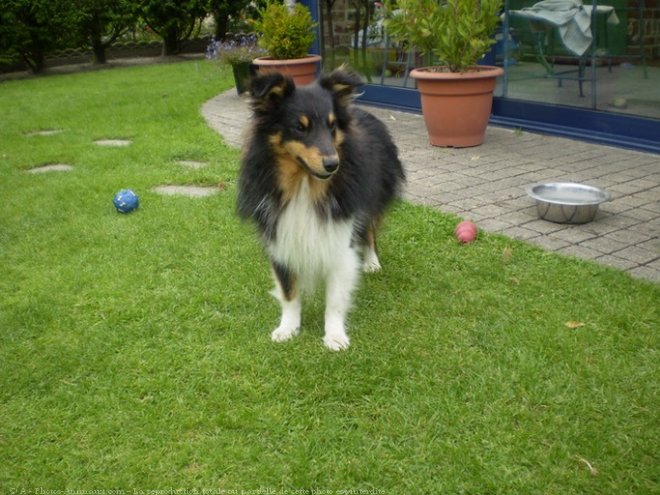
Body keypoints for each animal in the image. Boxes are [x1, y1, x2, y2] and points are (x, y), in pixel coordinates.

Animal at [235, 68, 404, 350]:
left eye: (332, 125)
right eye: (299, 127)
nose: (332, 164)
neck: (304, 186)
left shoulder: (340, 237)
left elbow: (335, 298)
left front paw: (335, 336)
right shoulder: (279, 236)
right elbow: (288, 290)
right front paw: (287, 328)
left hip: (372, 197)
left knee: (370, 230)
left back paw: (371, 261)